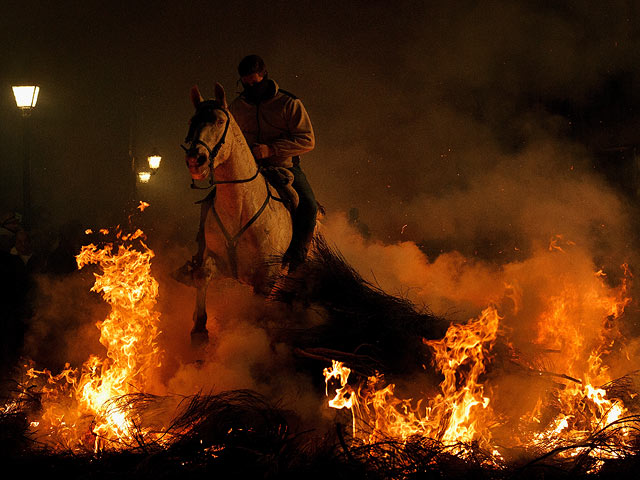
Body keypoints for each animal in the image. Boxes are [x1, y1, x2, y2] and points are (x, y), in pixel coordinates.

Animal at [181, 83, 294, 344]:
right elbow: (203, 275)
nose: (195, 159)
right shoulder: (214, 257)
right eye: (192, 120)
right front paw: (199, 328)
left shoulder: (267, 275)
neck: (240, 206)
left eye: (220, 121)